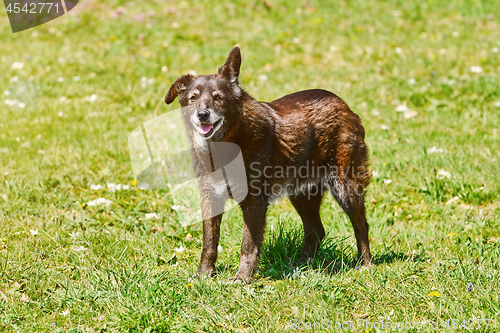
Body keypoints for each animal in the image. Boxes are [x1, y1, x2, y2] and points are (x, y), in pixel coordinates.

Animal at [165, 45, 372, 282]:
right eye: (193, 98)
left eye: (218, 98)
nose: (202, 115)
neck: (224, 146)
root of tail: (347, 108)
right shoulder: (210, 198)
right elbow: (209, 243)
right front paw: (204, 275)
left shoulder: (254, 203)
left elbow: (248, 245)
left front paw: (243, 278)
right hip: (301, 194)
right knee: (316, 230)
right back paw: (300, 267)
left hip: (345, 187)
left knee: (360, 225)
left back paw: (364, 264)